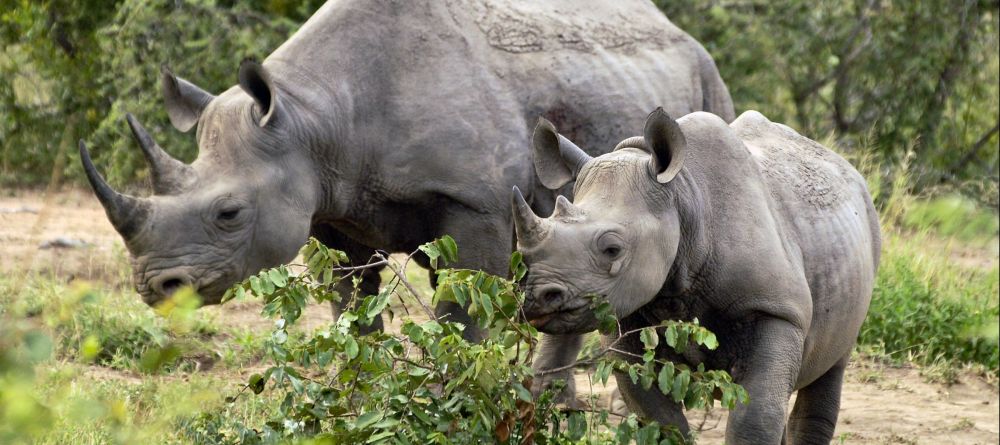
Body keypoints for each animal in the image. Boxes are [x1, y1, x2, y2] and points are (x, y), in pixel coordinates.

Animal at [77, 0, 733, 347]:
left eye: (229, 213)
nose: (154, 287)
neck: (312, 118)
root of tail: (677, 30)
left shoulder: (476, 204)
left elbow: (462, 316)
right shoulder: (332, 210)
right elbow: (351, 312)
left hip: (706, 77)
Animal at [512, 109, 880, 443]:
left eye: (612, 250)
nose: (539, 297)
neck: (682, 197)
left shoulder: (777, 308)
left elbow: (755, 419)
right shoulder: (627, 317)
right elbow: (660, 418)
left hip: (865, 231)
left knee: (831, 367)